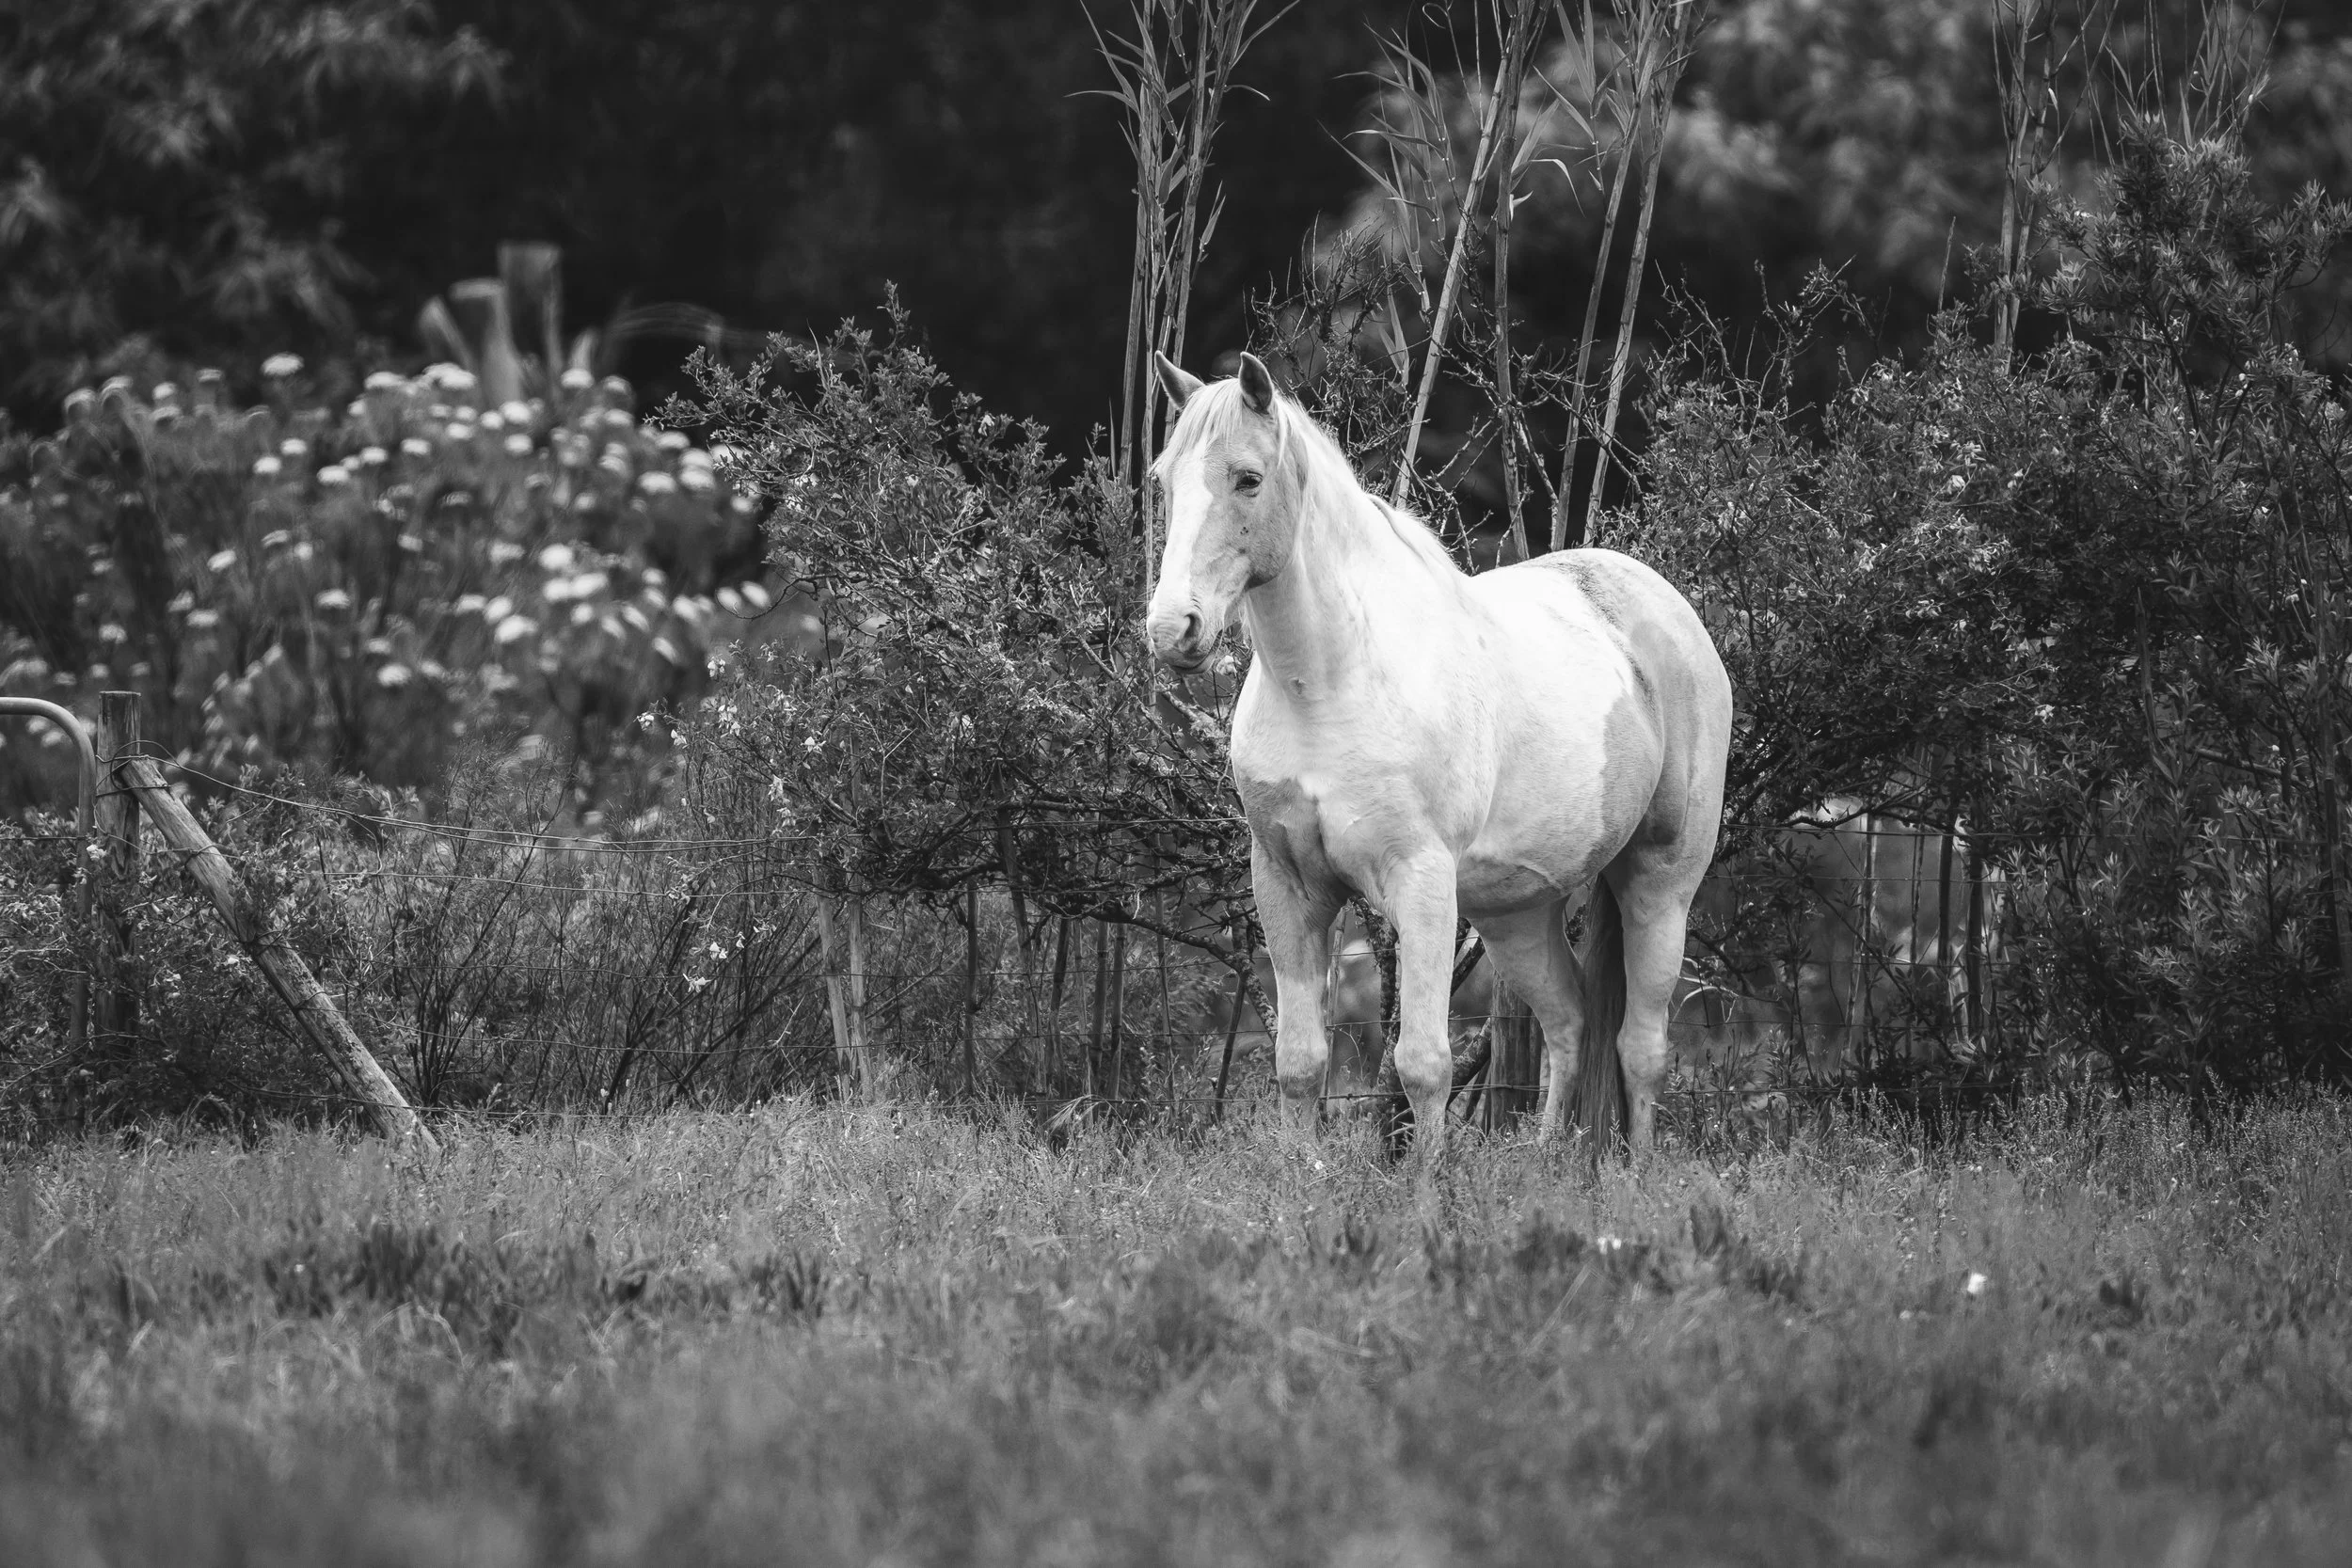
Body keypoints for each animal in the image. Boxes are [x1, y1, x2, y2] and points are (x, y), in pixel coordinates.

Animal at [1144, 350, 1732, 1160]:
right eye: (1164, 478)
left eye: (1248, 478)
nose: (1173, 629)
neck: (1330, 681)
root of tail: (1669, 613)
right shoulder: (1288, 883)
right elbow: (1300, 1062)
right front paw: (1301, 1175)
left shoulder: (1419, 882)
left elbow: (1423, 1064)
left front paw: (1427, 1185)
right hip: (1517, 912)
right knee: (1570, 1022)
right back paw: (1543, 1165)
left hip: (1660, 883)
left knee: (1641, 1047)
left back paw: (1636, 1172)